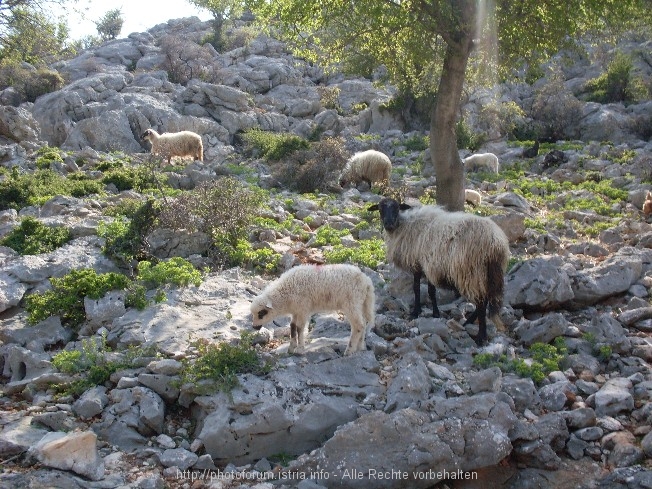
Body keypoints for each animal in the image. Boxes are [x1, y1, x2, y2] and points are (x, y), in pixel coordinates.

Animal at [370, 196, 512, 346]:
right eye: (380, 208)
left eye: (396, 207)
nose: (389, 223)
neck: (404, 225)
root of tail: (495, 244)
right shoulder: (428, 265)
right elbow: (430, 291)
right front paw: (434, 313)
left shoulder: (418, 264)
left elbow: (417, 289)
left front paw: (417, 311)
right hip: (488, 274)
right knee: (485, 300)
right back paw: (469, 322)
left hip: (473, 272)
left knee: (481, 302)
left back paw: (480, 336)